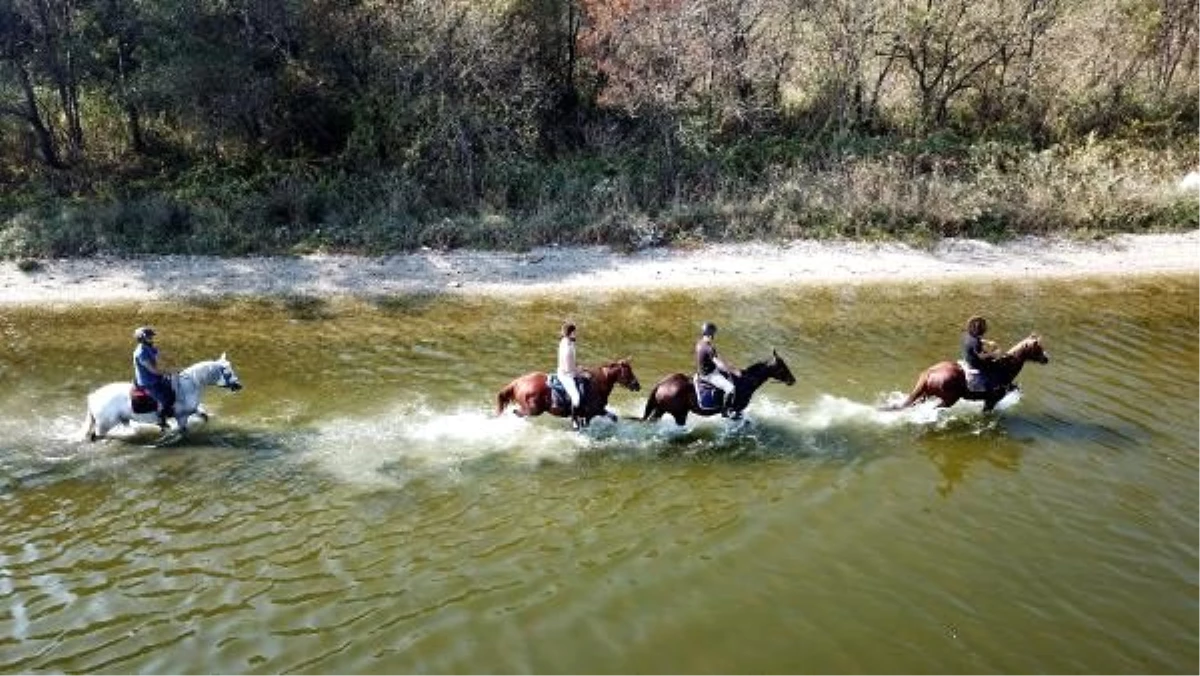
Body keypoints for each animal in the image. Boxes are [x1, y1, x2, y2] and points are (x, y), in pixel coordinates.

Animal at [80, 355, 243, 444]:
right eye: (228, 372)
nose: (239, 386)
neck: (188, 386)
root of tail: (93, 397)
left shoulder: (193, 410)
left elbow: (204, 416)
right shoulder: (182, 416)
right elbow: (183, 431)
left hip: (120, 420)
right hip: (104, 424)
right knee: (95, 436)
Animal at [494, 360, 643, 427]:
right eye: (628, 372)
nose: (637, 385)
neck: (597, 384)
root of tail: (518, 382)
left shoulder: (593, 413)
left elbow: (613, 417)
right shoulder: (593, 412)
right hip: (533, 410)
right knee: (517, 413)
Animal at [638, 353, 796, 425]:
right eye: (783, 367)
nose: (793, 380)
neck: (745, 381)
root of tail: (662, 384)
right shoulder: (736, 410)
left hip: (661, 410)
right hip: (678, 414)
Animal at [892, 333, 1051, 413]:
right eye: (1038, 348)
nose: (1046, 359)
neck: (1002, 369)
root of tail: (929, 373)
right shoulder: (991, 401)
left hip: (928, 394)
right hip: (949, 400)